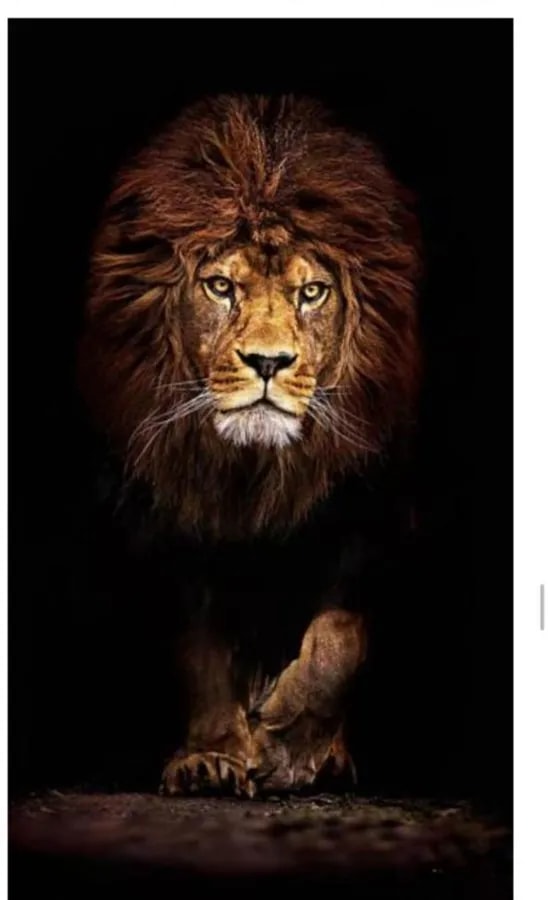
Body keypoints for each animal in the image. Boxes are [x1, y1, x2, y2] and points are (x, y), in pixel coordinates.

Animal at [79, 94, 420, 797]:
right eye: (220, 286)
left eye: (311, 292)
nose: (267, 361)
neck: (255, 472)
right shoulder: (169, 523)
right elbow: (201, 650)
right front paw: (212, 757)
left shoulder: (375, 514)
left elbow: (340, 635)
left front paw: (288, 745)